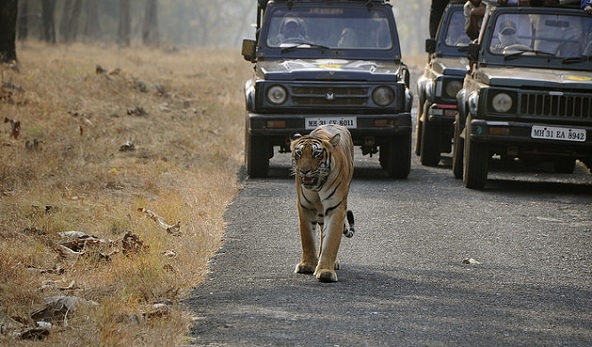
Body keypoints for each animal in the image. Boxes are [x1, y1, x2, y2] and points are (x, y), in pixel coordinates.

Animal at [290, 124, 354, 282]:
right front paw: (307, 264)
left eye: (316, 154)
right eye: (299, 153)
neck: (317, 185)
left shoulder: (336, 208)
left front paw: (326, 271)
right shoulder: (305, 207)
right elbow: (307, 237)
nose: (304, 171)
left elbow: (331, 240)